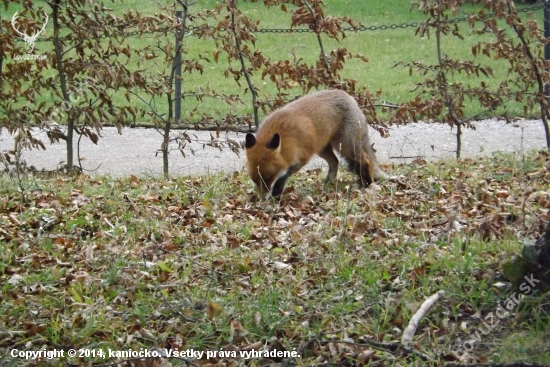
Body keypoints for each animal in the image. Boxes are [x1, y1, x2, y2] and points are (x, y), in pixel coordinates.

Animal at [247, 90, 388, 198]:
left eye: (269, 177)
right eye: (254, 179)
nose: (262, 199)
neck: (286, 136)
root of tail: (349, 97)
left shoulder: (303, 157)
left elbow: (283, 176)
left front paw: (276, 193)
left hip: (346, 146)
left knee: (366, 159)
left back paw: (368, 184)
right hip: (323, 149)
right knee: (335, 162)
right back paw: (328, 184)